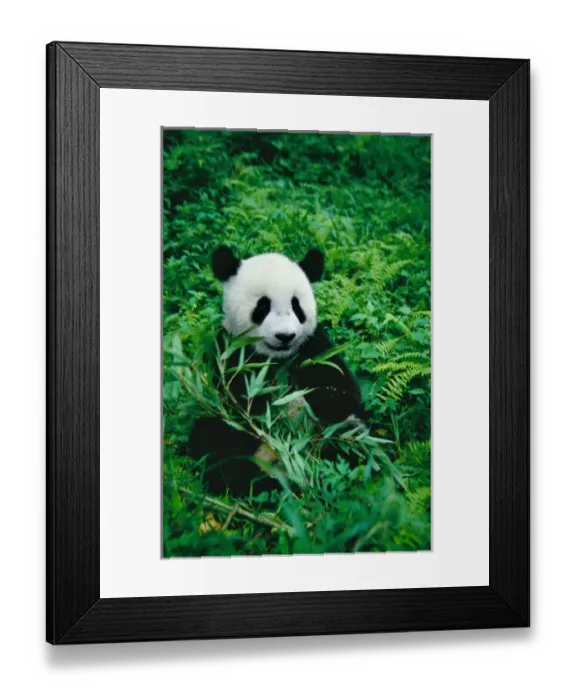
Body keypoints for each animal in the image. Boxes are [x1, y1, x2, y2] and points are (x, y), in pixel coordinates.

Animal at [188, 245, 367, 497]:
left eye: (296, 305)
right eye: (263, 305)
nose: (285, 336)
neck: (276, 358)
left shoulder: (312, 347)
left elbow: (343, 390)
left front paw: (327, 396)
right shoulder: (229, 349)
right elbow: (233, 397)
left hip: (328, 436)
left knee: (351, 440)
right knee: (214, 441)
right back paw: (254, 484)